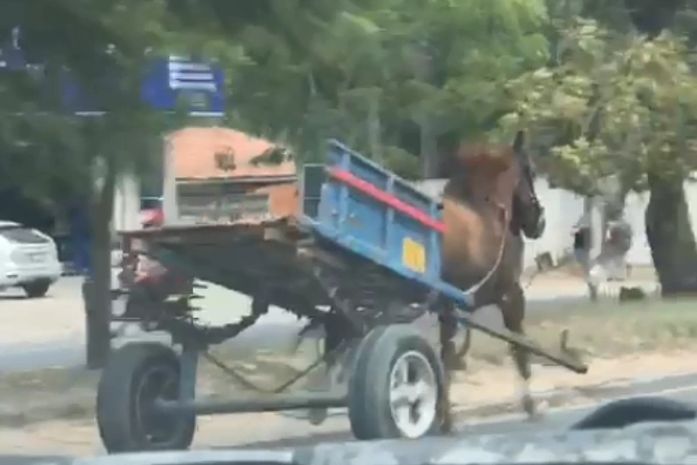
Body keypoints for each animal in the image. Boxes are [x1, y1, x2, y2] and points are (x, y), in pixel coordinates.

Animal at [437, 130, 546, 420]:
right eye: (530, 170)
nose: (539, 223)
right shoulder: (511, 295)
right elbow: (520, 349)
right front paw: (530, 404)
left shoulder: (449, 308)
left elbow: (446, 356)